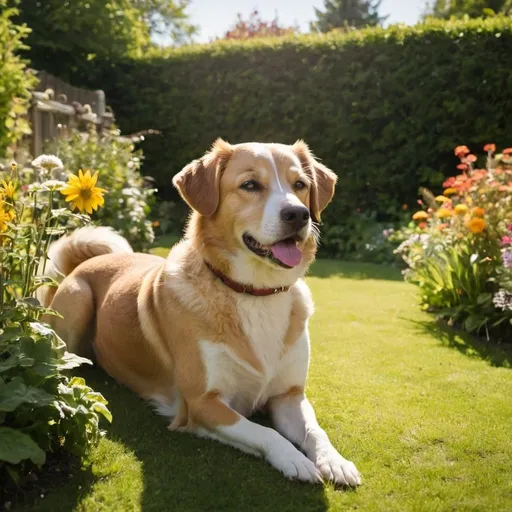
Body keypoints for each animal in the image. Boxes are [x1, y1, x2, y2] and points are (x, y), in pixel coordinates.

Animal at [41, 138, 360, 486]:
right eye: (250, 185)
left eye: (300, 185)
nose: (299, 214)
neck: (254, 293)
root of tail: (85, 263)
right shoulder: (202, 404)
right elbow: (265, 433)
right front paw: (293, 459)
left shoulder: (289, 395)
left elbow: (316, 431)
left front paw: (335, 461)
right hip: (78, 301)